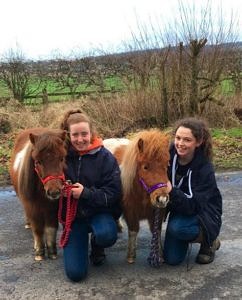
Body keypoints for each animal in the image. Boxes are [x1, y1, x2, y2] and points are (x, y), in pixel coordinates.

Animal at [9, 127, 66, 262]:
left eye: (62, 158)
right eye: (38, 162)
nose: (54, 191)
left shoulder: (52, 208)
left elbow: (51, 228)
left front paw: (52, 252)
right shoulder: (32, 207)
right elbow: (38, 229)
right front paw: (39, 252)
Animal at [103, 129, 169, 264]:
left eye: (166, 165)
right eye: (145, 167)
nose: (162, 199)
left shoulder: (156, 212)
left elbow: (157, 230)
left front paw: (159, 255)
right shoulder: (130, 211)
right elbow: (133, 230)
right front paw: (131, 256)